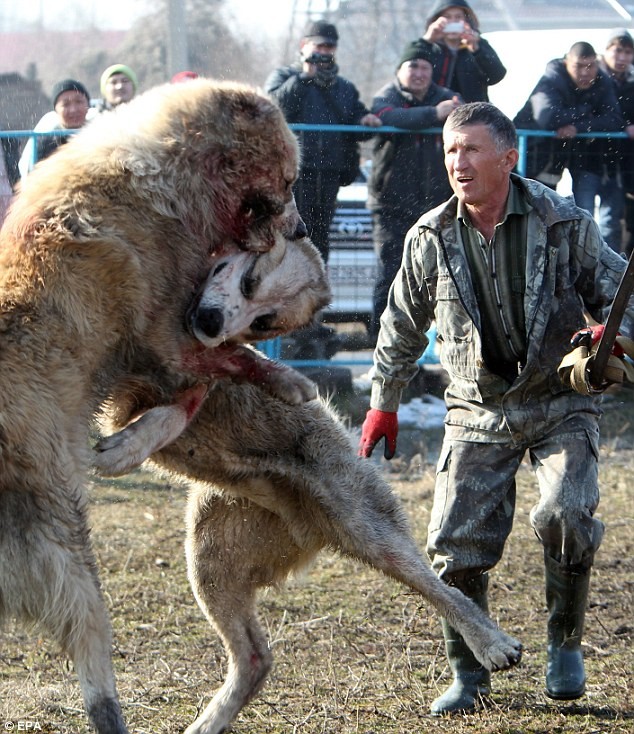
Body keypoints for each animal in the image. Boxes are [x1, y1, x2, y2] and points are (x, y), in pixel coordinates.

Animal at [0, 77, 328, 732]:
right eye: (285, 182)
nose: (302, 226)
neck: (171, 178)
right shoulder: (166, 333)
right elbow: (226, 362)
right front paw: (288, 380)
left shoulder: (164, 344)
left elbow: (193, 392)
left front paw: (132, 443)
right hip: (69, 552)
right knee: (95, 660)